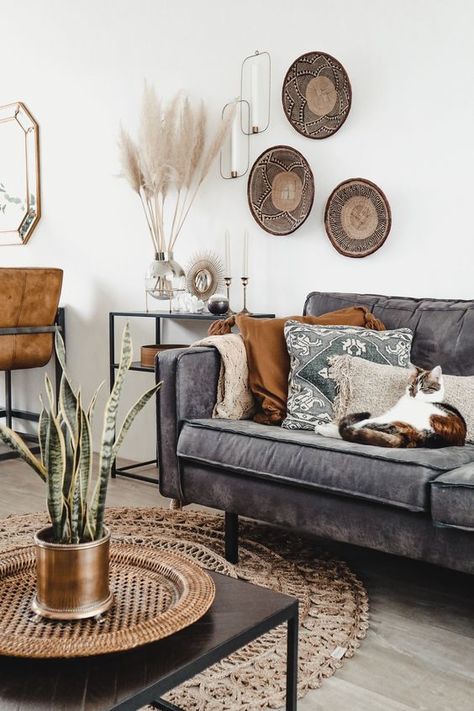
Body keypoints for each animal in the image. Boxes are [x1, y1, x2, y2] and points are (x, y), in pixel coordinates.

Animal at [314, 368, 466, 450]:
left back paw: (322, 428)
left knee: (348, 430)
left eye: (424, 388)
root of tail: (422, 437)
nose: (414, 394)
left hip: (387, 420)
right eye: (412, 387)